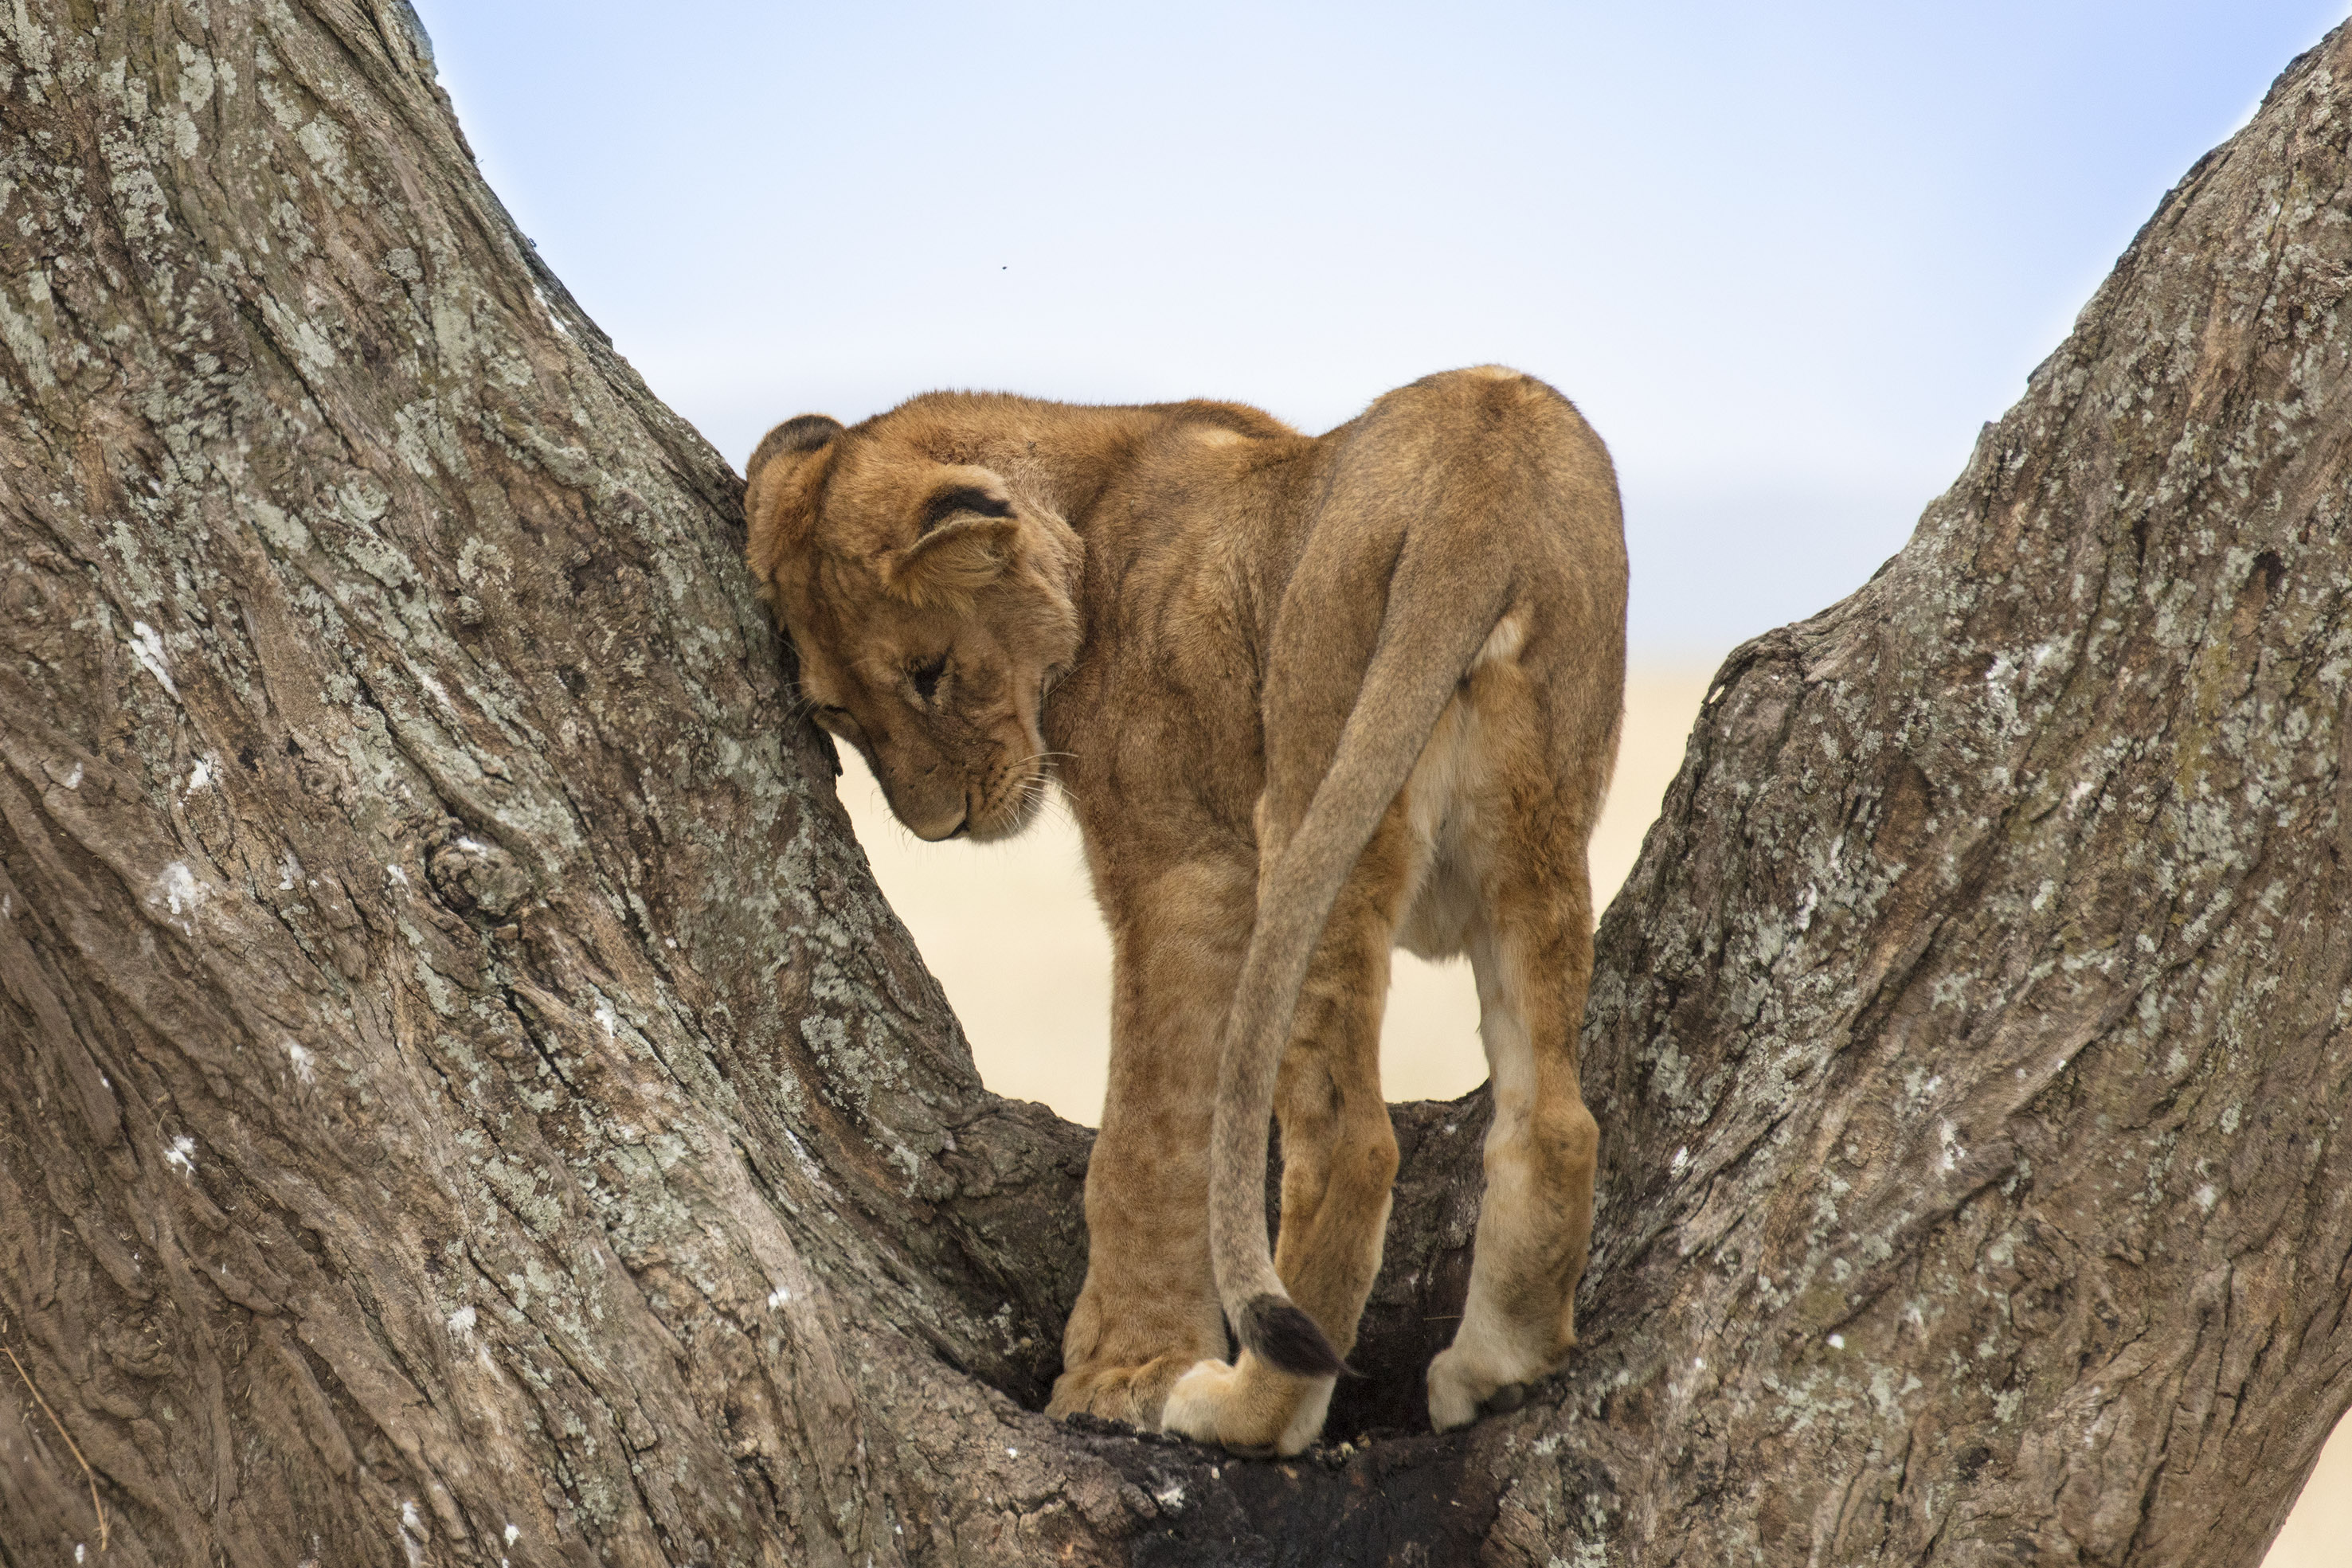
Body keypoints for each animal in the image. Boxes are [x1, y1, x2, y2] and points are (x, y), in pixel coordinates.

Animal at [744, 368, 1625, 1455]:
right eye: (835, 713)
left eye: (929, 673)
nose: (938, 827)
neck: (1092, 494)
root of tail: (1483, 489)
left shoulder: (1187, 867)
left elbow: (1147, 1137)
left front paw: (1119, 1372)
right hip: (1536, 823)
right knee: (1555, 1119)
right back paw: (1496, 1371)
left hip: (1308, 796)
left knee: (1349, 1144)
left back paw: (1238, 1410)